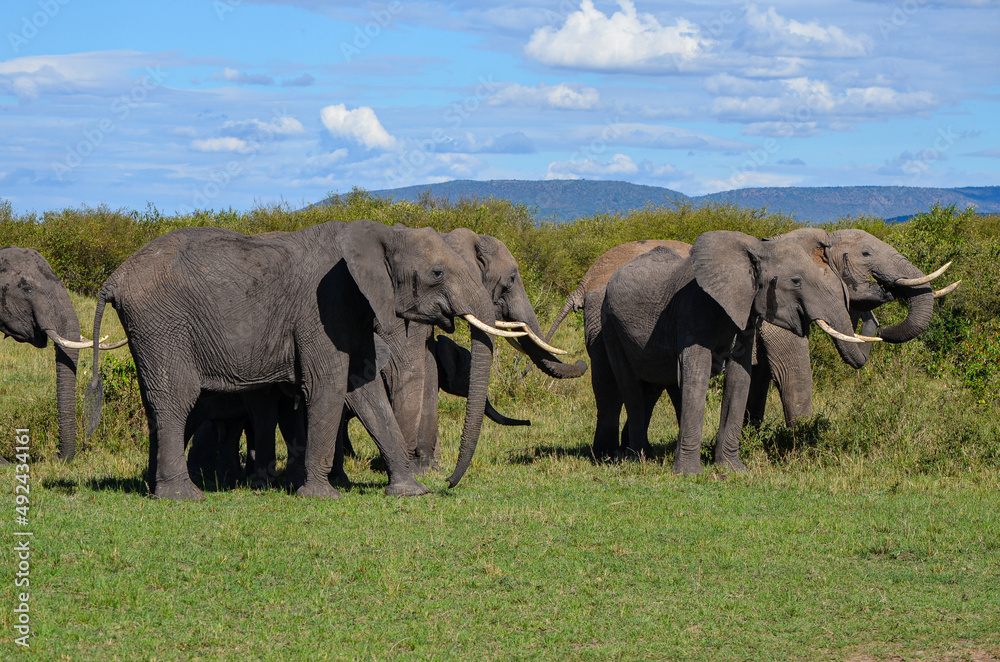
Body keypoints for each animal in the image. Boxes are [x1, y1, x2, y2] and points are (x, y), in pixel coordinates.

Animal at [85, 219, 523, 500]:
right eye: (436, 273)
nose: (447, 482)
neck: (383, 234)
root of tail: (115, 278)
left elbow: (364, 391)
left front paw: (410, 492)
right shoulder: (322, 307)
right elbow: (328, 387)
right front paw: (321, 496)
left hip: (150, 331)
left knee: (157, 404)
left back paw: (154, 489)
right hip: (163, 323)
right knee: (177, 399)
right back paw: (183, 496)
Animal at [592, 231, 874, 475]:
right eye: (796, 281)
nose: (870, 295)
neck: (755, 251)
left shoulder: (745, 313)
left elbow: (740, 379)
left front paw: (733, 469)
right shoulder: (692, 309)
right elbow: (697, 375)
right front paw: (689, 473)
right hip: (609, 324)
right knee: (631, 389)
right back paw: (636, 458)